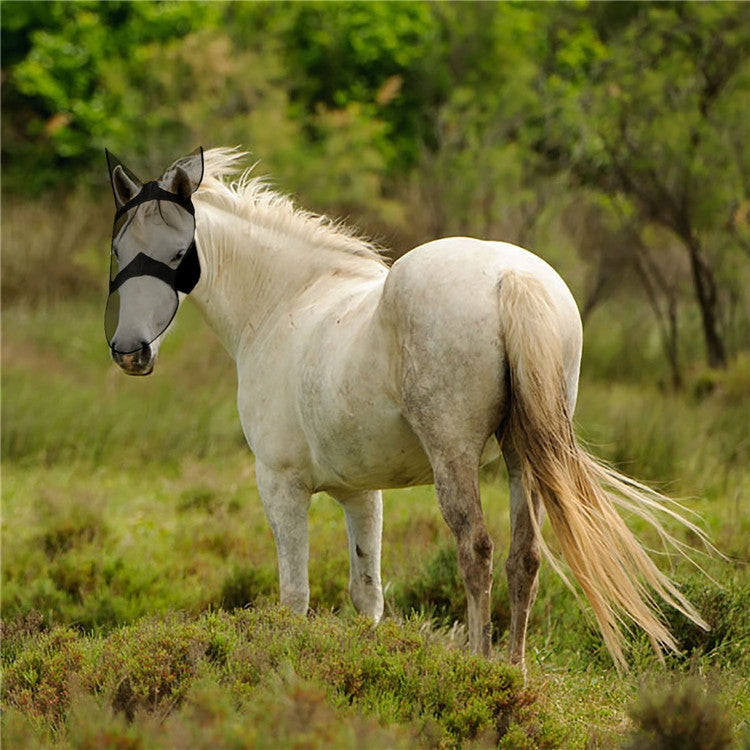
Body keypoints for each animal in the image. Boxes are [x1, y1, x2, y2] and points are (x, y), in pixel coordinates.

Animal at [104, 148, 712, 676]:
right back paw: (513, 674)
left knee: (477, 550)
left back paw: (480, 667)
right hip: (525, 457)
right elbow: (366, 594)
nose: (130, 352)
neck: (283, 304)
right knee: (525, 556)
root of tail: (511, 278)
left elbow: (294, 597)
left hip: (454, 458)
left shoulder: (281, 485)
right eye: (118, 251)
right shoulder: (359, 493)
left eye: (177, 255)